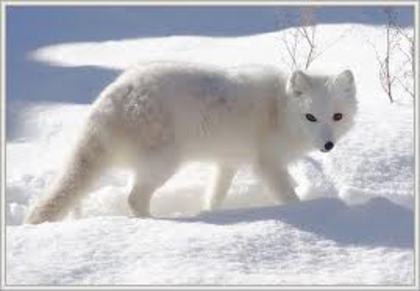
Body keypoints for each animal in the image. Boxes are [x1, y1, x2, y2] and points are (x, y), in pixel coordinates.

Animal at [23, 62, 358, 225]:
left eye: (337, 116)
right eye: (310, 117)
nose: (327, 145)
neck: (278, 108)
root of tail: (105, 103)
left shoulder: (228, 162)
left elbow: (216, 195)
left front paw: (211, 211)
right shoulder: (269, 165)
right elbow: (289, 198)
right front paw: (305, 212)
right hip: (164, 164)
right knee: (133, 199)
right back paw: (151, 222)